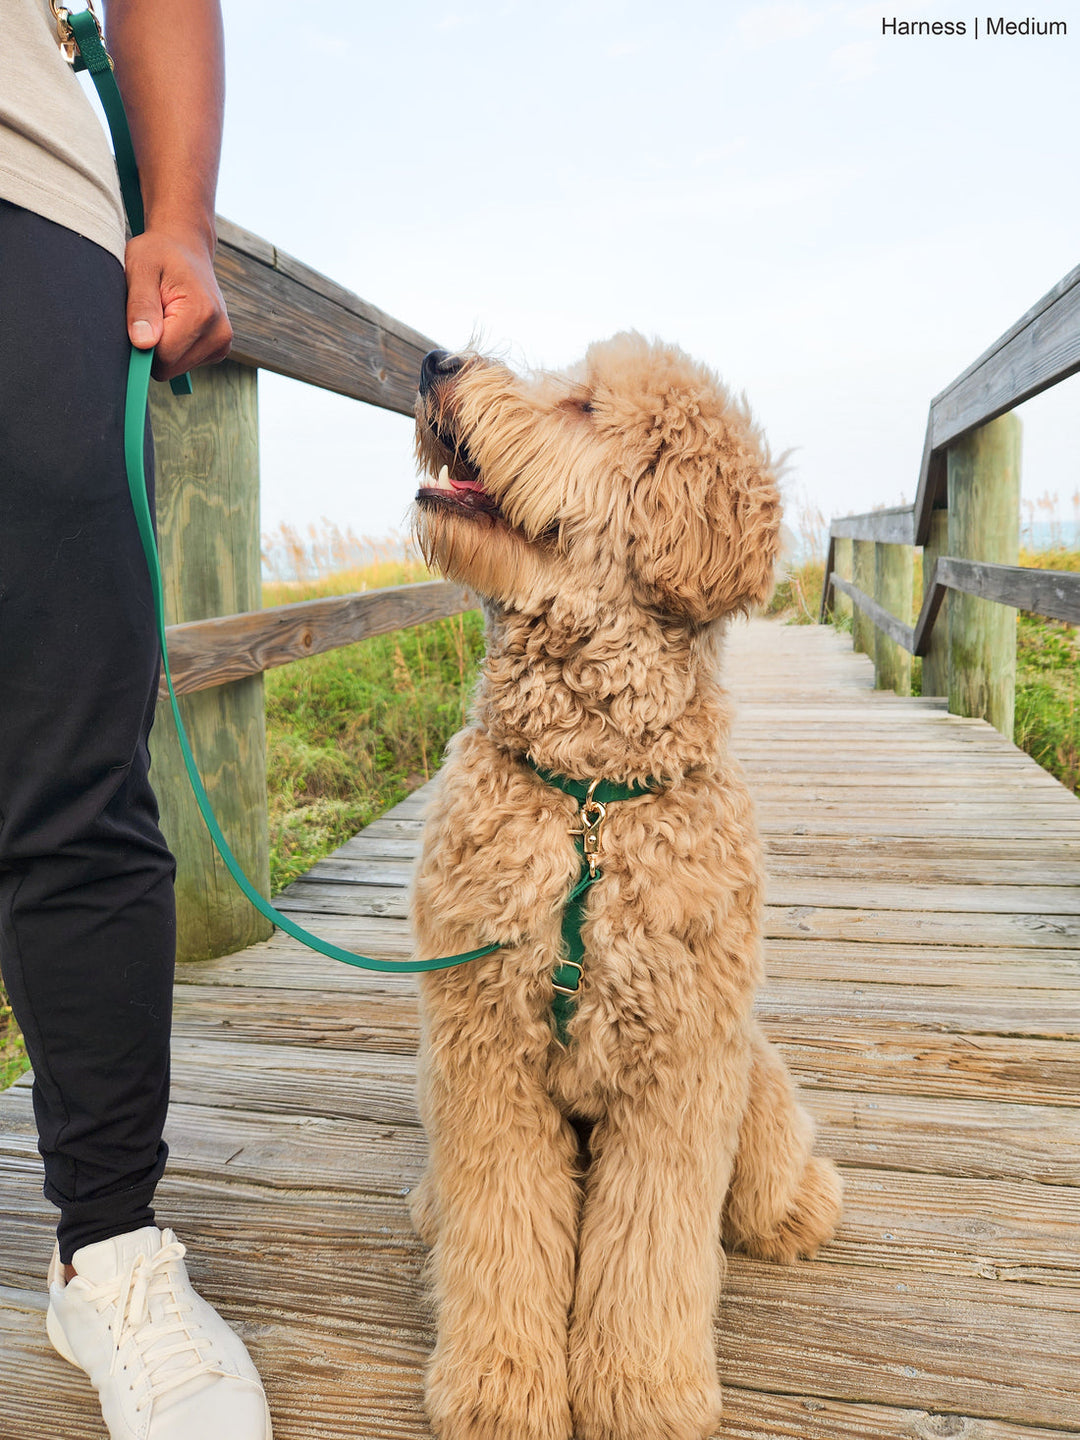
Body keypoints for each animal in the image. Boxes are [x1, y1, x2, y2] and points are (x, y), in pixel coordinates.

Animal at [408, 334, 840, 1440]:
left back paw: (799, 1207)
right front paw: (499, 1389)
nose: (433, 360)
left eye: (584, 408)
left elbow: (650, 1250)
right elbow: (501, 1231)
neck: (591, 796)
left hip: (750, 1073)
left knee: (766, 1171)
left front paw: (642, 1394)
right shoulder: (483, 1050)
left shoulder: (680, 1068)